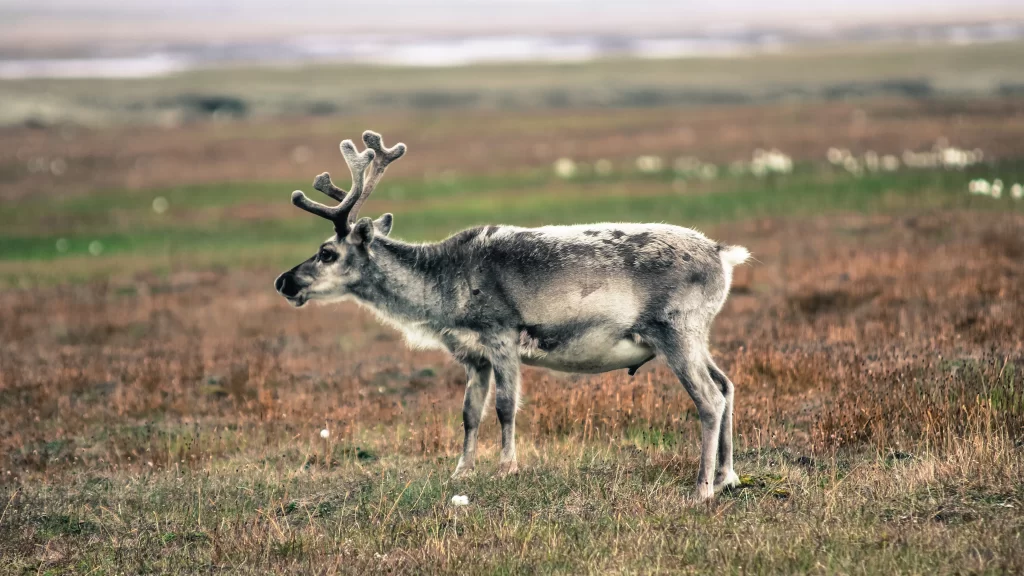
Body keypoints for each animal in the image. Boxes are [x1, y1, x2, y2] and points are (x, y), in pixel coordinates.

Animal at [275, 130, 750, 500]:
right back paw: (728, 476)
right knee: (727, 385)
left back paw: (702, 487)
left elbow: (505, 406)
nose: (284, 281)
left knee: (709, 398)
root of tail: (723, 255)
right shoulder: (473, 355)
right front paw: (461, 471)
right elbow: (470, 413)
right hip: (694, 336)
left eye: (326, 252)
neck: (442, 286)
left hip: (676, 331)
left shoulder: (501, 334)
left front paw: (507, 467)